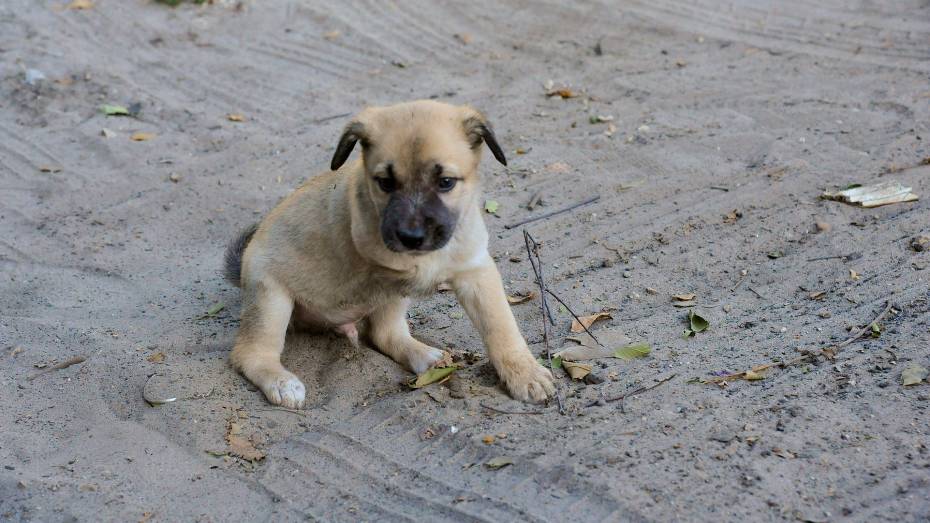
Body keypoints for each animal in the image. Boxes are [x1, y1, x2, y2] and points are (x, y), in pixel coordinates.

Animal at [227, 99, 552, 410]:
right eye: (385, 183)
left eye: (446, 182)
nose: (412, 237)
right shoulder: (384, 256)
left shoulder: (476, 270)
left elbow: (501, 326)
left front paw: (525, 373)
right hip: (271, 299)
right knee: (249, 353)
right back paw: (282, 383)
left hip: (387, 299)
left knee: (384, 333)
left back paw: (425, 356)